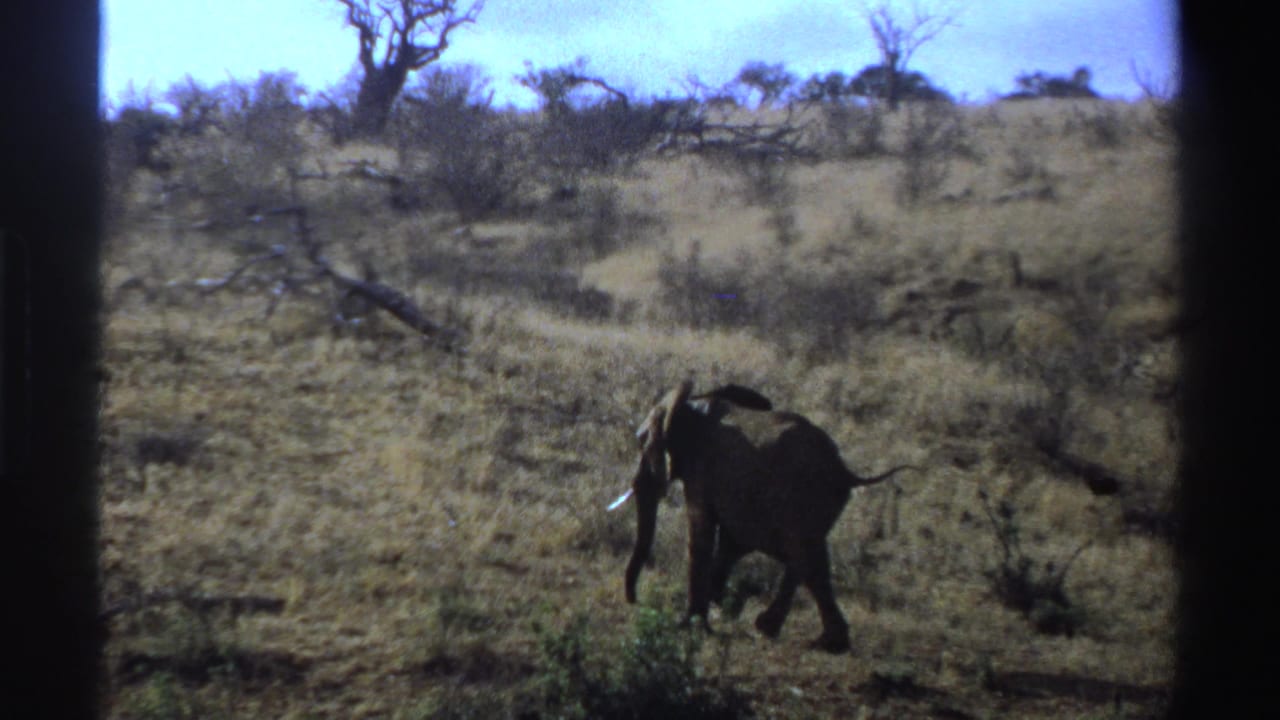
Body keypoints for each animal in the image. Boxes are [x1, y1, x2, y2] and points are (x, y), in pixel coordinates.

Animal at [609, 381, 917, 653]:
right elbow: (730, 542)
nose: (634, 600)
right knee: (812, 560)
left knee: (802, 554)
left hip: (799, 496)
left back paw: (773, 629)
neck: (692, 404)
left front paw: (689, 625)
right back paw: (823, 642)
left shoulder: (702, 470)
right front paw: (719, 610)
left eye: (642, 441)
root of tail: (844, 470)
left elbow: (701, 534)